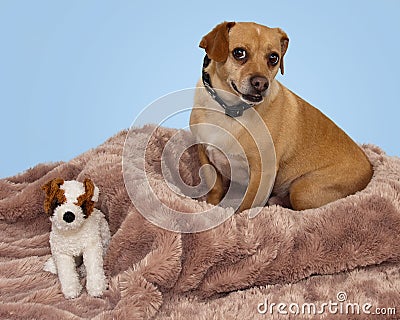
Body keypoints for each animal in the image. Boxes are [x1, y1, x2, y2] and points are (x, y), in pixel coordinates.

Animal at [189, 22, 374, 212]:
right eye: (239, 53)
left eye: (273, 58)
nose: (261, 83)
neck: (230, 110)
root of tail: (370, 169)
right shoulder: (203, 152)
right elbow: (215, 187)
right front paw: (209, 206)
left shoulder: (263, 172)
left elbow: (247, 206)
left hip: (302, 190)